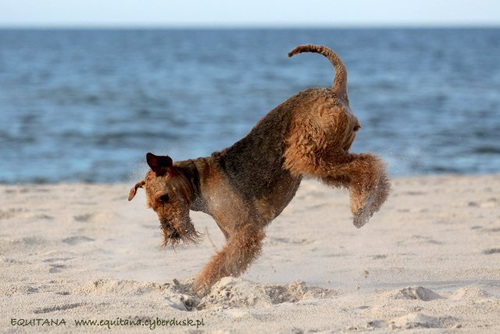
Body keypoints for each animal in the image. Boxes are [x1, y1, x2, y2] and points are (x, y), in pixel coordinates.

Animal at [128, 43, 390, 294]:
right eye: (152, 207)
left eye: (164, 197)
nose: (171, 233)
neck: (197, 183)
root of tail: (334, 91)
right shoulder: (234, 237)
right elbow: (226, 263)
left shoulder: (246, 233)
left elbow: (217, 265)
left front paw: (197, 289)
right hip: (326, 156)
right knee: (373, 167)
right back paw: (367, 207)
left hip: (307, 154)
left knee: (366, 164)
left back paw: (360, 207)